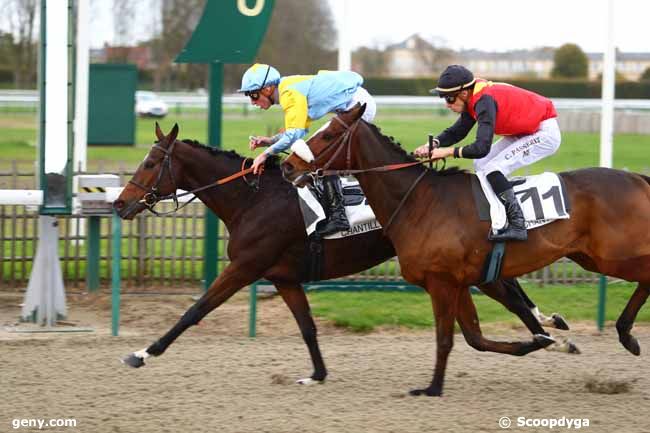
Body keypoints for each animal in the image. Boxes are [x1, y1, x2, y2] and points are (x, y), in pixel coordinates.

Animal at [114, 123, 568, 384]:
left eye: (151, 163)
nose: (119, 204)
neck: (253, 199)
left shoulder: (245, 266)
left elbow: (195, 310)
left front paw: (142, 353)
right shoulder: (283, 276)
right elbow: (307, 327)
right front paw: (317, 373)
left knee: (512, 297)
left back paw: (552, 338)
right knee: (510, 291)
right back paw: (551, 329)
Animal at [280, 104, 648, 394]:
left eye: (328, 135)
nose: (287, 166)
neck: (419, 202)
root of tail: (638, 179)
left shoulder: (442, 282)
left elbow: (445, 339)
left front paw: (432, 388)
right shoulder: (458, 282)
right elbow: (475, 338)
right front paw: (541, 341)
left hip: (614, 256)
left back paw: (626, 335)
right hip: (591, 256)